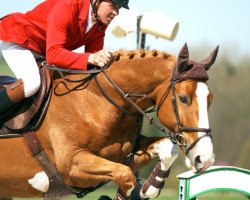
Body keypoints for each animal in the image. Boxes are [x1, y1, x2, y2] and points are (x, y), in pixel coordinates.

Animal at [0, 44, 218, 200]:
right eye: (183, 98)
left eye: (210, 99)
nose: (205, 159)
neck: (101, 102)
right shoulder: (71, 166)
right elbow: (126, 175)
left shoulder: (128, 153)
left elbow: (167, 148)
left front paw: (149, 188)